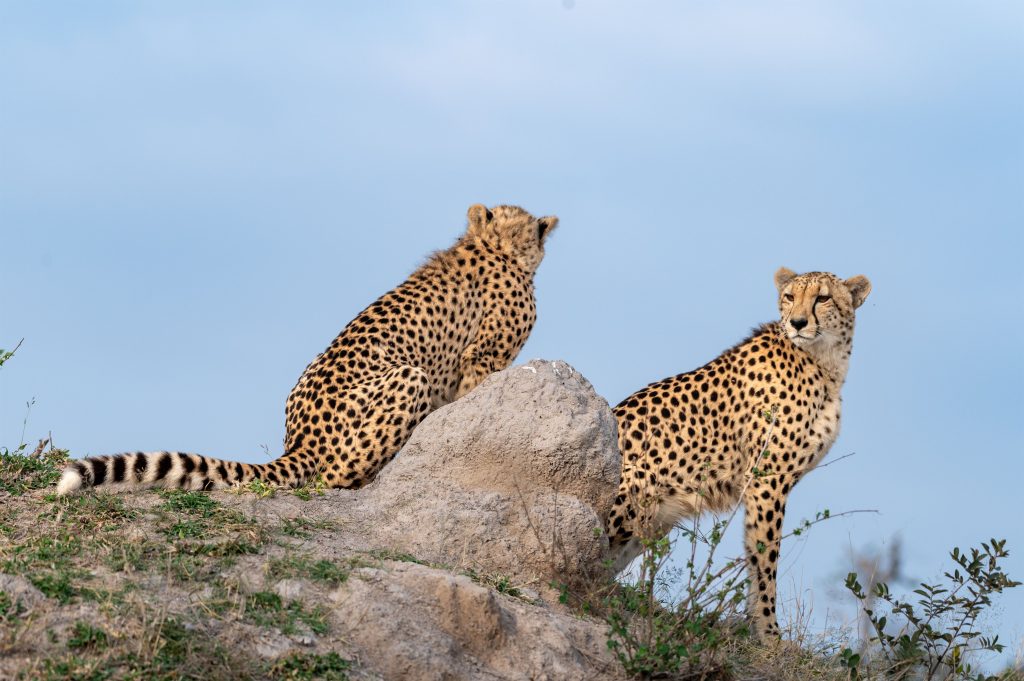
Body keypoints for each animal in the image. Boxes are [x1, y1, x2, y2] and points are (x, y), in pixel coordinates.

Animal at [57, 204, 559, 495]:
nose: (548, 226)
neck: (496, 244)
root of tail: (298, 440)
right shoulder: (484, 356)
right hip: (408, 377)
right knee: (332, 476)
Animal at [606, 267, 871, 639]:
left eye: (823, 298)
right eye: (790, 297)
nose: (798, 323)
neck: (822, 361)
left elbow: (754, 552)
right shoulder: (767, 481)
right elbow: (765, 559)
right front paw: (769, 634)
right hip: (638, 487)